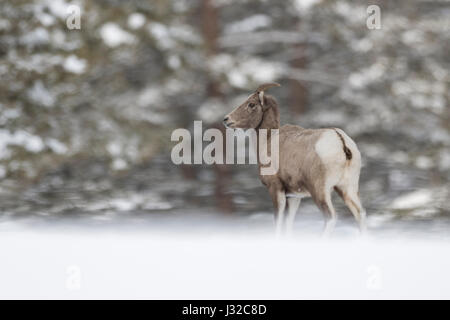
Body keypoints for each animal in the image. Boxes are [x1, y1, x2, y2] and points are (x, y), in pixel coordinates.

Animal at [223, 84, 368, 236]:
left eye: (251, 104)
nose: (226, 119)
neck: (268, 140)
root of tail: (341, 141)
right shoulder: (294, 197)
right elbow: (288, 223)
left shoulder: (276, 189)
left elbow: (278, 222)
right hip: (347, 189)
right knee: (360, 214)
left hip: (320, 191)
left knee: (331, 217)